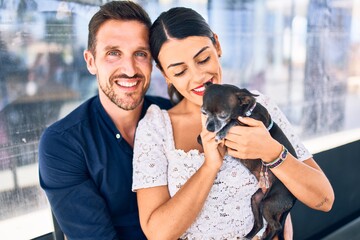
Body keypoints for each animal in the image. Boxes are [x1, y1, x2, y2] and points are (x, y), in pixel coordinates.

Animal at [198, 82, 296, 240]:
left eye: (223, 115)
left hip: (268, 204)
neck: (246, 111)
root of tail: (295, 198)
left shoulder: (251, 124)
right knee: (260, 224)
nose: (209, 127)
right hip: (257, 199)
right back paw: (248, 236)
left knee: (277, 226)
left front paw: (222, 131)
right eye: (204, 112)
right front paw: (202, 138)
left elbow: (234, 121)